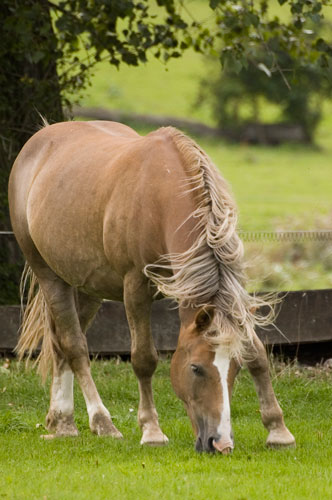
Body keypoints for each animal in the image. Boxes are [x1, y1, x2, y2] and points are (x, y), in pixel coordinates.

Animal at [7, 120, 294, 454]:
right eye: (195, 368)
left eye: (235, 368)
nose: (220, 443)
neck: (161, 197)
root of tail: (39, 140)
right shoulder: (135, 288)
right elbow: (144, 358)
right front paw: (152, 430)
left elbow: (257, 353)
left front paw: (278, 430)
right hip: (50, 276)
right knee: (74, 346)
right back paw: (98, 422)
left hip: (86, 287)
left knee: (58, 344)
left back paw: (61, 421)